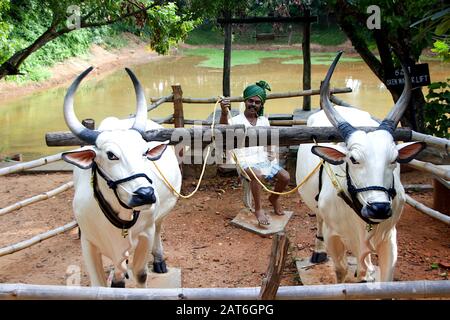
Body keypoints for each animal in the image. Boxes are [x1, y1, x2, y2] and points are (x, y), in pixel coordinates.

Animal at [61, 67, 181, 288]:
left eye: (145, 152)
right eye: (111, 155)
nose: (145, 194)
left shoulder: (145, 234)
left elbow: (140, 274)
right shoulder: (88, 242)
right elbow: (100, 284)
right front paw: (116, 281)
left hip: (161, 215)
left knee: (159, 228)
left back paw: (159, 260)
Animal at [296, 52, 426, 282]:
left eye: (393, 159)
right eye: (353, 159)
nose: (379, 208)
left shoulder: (389, 239)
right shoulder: (334, 237)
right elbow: (341, 271)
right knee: (319, 219)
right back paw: (318, 251)